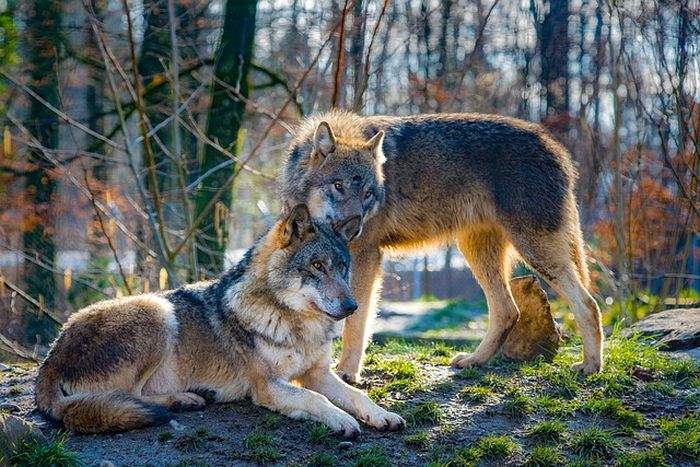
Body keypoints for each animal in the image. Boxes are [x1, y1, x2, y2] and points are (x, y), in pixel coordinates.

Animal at [35, 207, 404, 436]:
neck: (296, 324)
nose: (353, 306)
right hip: (157, 310)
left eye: (342, 267)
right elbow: (316, 400)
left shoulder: (317, 373)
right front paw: (342, 420)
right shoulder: (267, 386)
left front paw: (381, 415)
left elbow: (356, 395)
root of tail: (50, 359)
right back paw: (185, 399)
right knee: (129, 397)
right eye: (316, 266)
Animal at [278, 111, 600, 382]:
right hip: (477, 252)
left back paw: (591, 366)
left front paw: (346, 372)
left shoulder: (366, 256)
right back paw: (474, 361)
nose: (355, 228)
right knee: (508, 311)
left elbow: (356, 320)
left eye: (368, 193)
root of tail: (556, 148)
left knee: (588, 303)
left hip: (535, 252)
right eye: (338, 186)